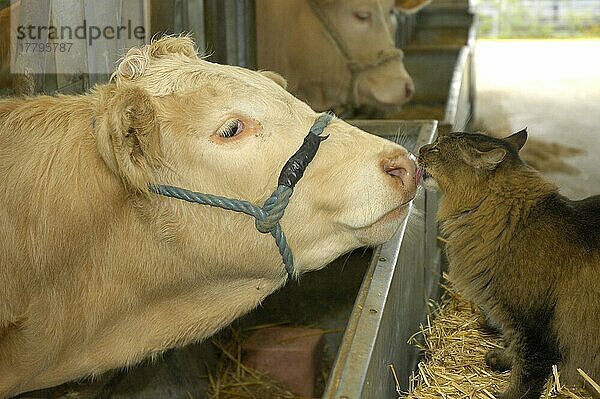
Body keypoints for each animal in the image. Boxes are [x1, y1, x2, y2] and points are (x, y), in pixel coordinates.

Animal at [418, 130, 600, 398]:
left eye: (436, 149)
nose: (421, 149)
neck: (512, 221)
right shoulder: (508, 315)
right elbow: (514, 347)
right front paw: (503, 359)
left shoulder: (532, 325)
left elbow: (526, 373)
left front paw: (509, 393)